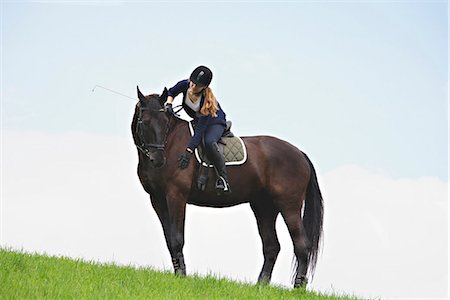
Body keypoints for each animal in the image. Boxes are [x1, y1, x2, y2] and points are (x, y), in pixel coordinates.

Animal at [131, 86, 324, 288]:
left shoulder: (176, 196)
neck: (171, 143)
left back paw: (298, 286)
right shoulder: (158, 200)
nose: (159, 160)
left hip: (289, 206)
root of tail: (299, 153)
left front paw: (182, 275)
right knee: (272, 246)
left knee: (301, 245)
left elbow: (177, 239)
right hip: (264, 207)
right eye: (145, 123)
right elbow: (169, 239)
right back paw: (261, 285)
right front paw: (178, 273)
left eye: (165, 123)